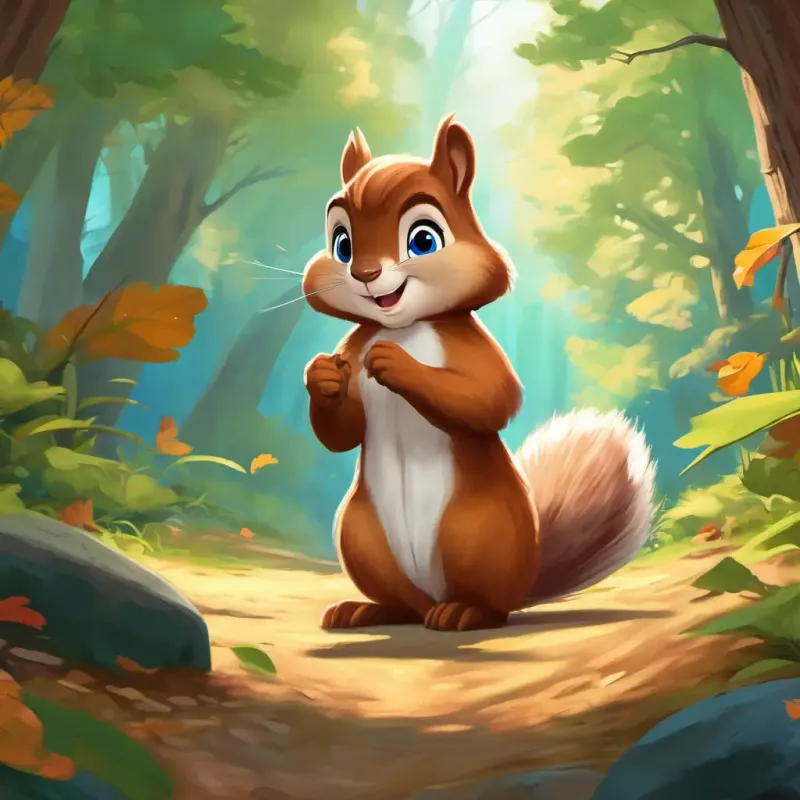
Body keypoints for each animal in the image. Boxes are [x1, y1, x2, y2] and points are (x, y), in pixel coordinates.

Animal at [302, 114, 656, 633]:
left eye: (423, 240)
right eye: (342, 245)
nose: (365, 274)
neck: (404, 327)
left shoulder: (474, 348)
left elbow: (490, 400)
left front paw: (396, 364)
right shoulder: (354, 346)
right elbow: (342, 433)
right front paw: (322, 376)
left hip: (476, 532)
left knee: (488, 605)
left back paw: (465, 612)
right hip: (361, 537)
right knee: (401, 602)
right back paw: (365, 609)